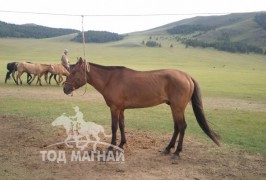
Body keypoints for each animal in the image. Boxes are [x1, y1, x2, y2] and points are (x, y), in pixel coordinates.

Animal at [62, 57, 220, 159]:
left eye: (74, 72)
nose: (65, 89)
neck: (110, 79)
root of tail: (187, 76)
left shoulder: (114, 108)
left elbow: (114, 127)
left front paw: (111, 148)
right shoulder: (121, 109)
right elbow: (122, 125)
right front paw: (121, 144)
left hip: (177, 108)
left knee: (182, 126)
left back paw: (176, 152)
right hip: (175, 108)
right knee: (177, 127)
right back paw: (168, 148)